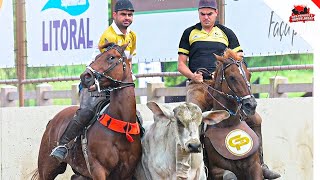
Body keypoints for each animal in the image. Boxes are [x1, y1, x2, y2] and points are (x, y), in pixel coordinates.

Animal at [33, 42, 141, 180]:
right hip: (47, 167)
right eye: (97, 57)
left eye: (111, 57)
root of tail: (52, 121)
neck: (122, 126)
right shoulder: (98, 169)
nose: (85, 76)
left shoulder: (126, 173)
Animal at [201, 48, 264, 179]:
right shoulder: (216, 170)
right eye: (232, 77)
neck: (228, 124)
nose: (251, 105)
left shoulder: (255, 166)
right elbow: (229, 175)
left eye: (249, 75)